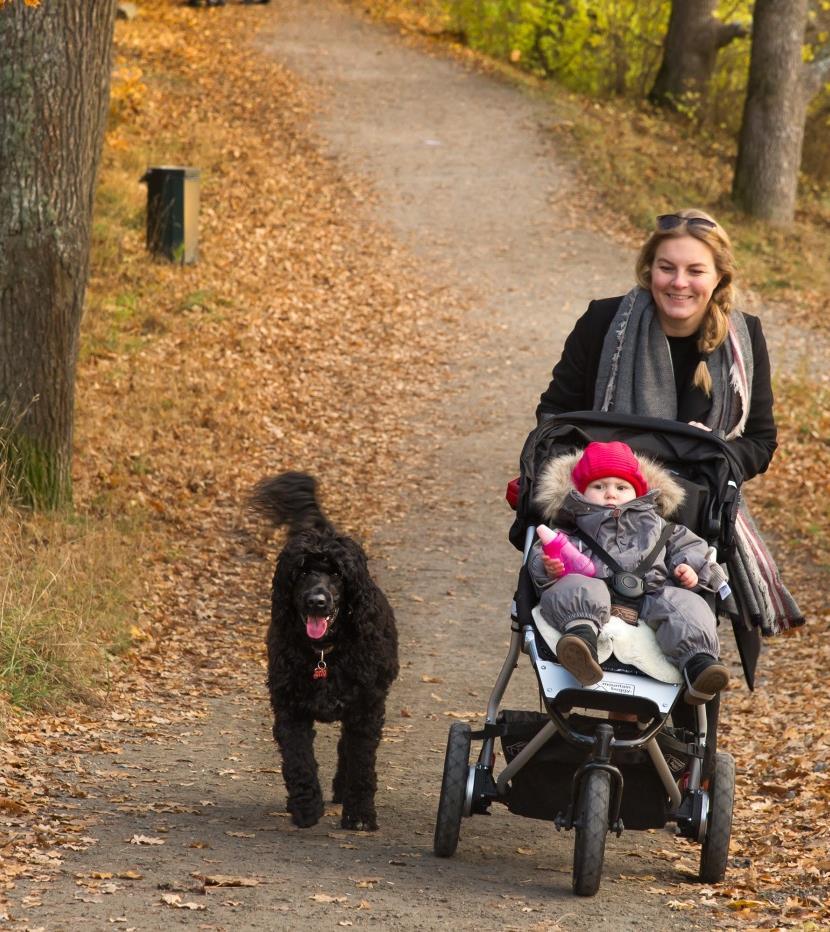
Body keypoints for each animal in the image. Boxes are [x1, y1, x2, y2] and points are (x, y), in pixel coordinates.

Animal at [250, 474, 400, 832]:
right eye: (303, 571)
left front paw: (359, 815)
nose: (316, 601)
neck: (325, 653)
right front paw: (306, 807)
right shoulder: (290, 710)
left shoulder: (365, 710)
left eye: (336, 574)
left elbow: (361, 763)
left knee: (348, 749)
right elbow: (299, 762)